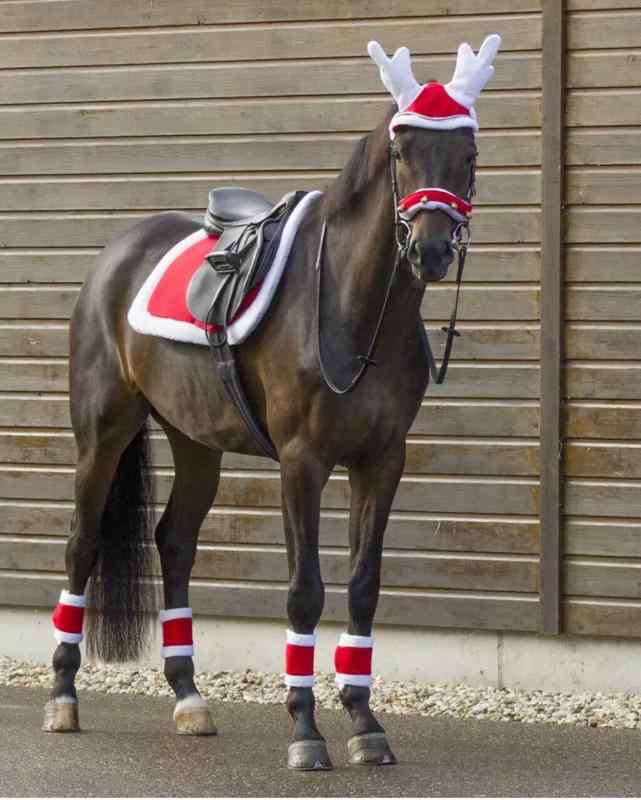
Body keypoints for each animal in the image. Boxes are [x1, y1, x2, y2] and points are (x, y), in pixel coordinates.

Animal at [42, 37, 499, 770]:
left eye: (469, 154)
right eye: (401, 149)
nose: (430, 250)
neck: (350, 307)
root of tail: (116, 255)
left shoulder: (381, 460)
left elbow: (363, 586)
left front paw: (365, 723)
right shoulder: (301, 461)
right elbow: (304, 591)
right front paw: (306, 732)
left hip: (195, 441)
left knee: (174, 542)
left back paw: (188, 698)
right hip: (102, 432)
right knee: (82, 544)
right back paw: (63, 697)